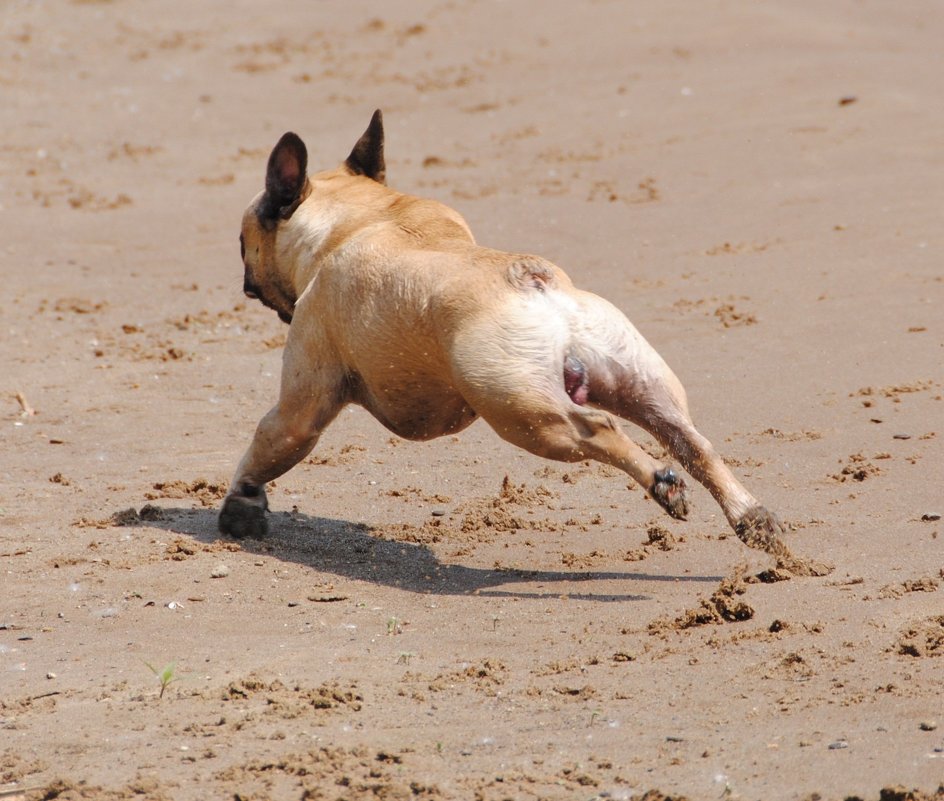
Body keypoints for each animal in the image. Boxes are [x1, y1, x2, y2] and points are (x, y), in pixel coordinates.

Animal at [218, 112, 816, 572]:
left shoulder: (303, 399)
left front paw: (241, 504)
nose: (243, 273)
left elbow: (268, 443)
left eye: (243, 241)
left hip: (522, 412)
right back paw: (750, 517)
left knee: (601, 430)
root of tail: (535, 284)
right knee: (692, 442)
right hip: (637, 377)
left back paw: (661, 483)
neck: (365, 216)